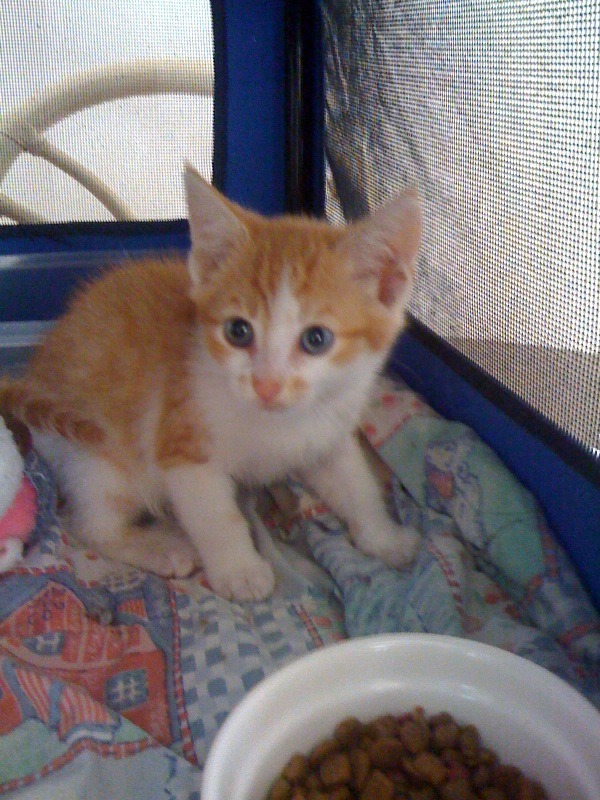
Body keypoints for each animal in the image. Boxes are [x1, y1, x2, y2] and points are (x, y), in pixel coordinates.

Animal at [0, 164, 422, 601]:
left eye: (316, 339)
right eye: (238, 331)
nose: (266, 385)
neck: (280, 427)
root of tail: (34, 374)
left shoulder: (329, 432)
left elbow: (356, 484)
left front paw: (384, 538)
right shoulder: (180, 440)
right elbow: (216, 516)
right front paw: (240, 570)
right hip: (98, 458)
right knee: (89, 524)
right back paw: (160, 547)